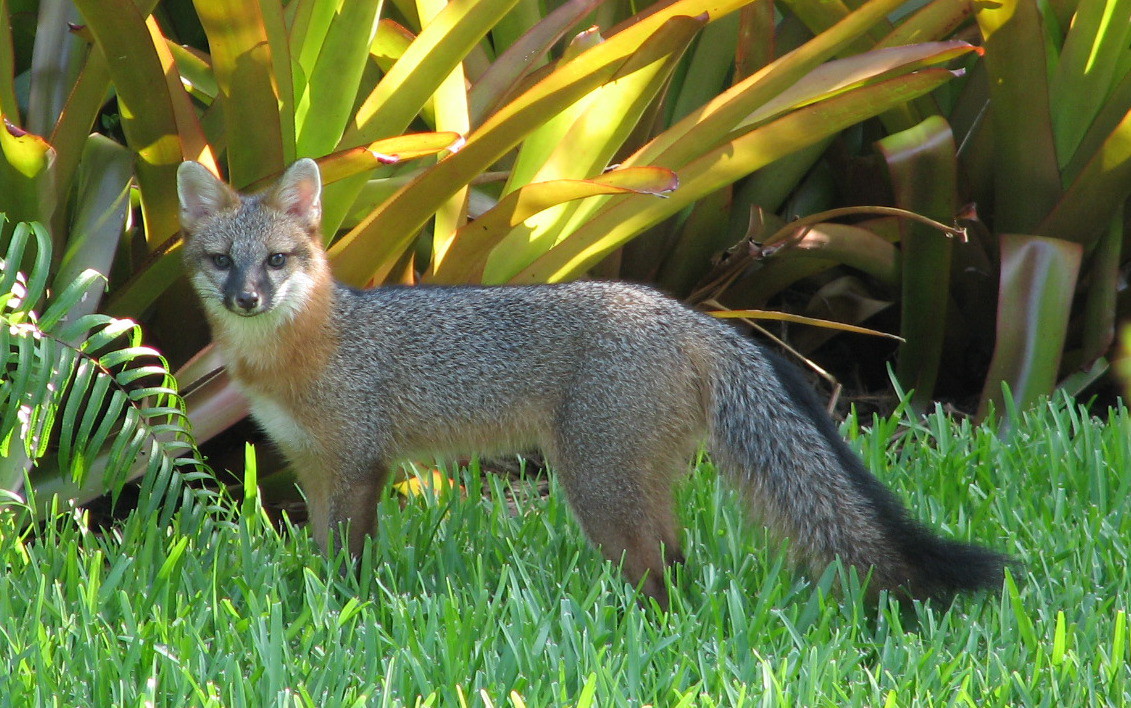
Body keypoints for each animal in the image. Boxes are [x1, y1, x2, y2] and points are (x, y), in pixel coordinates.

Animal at [176, 158, 1008, 608]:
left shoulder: (356, 465)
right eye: (221, 261)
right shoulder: (313, 469)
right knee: (678, 563)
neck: (303, 347)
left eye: (276, 260)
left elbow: (349, 564)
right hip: (630, 483)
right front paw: (316, 604)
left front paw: (345, 611)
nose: (246, 297)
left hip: (594, 484)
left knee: (660, 576)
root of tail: (687, 313)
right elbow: (321, 556)